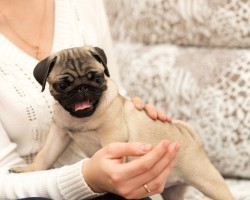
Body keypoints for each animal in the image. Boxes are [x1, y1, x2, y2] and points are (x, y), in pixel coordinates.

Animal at [10, 46, 234, 200]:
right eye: (62, 85)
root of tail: (188, 133)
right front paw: (28, 170)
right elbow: (44, 156)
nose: (82, 88)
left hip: (208, 180)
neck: (83, 118)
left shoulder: (112, 133)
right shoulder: (60, 134)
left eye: (97, 78)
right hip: (173, 191)